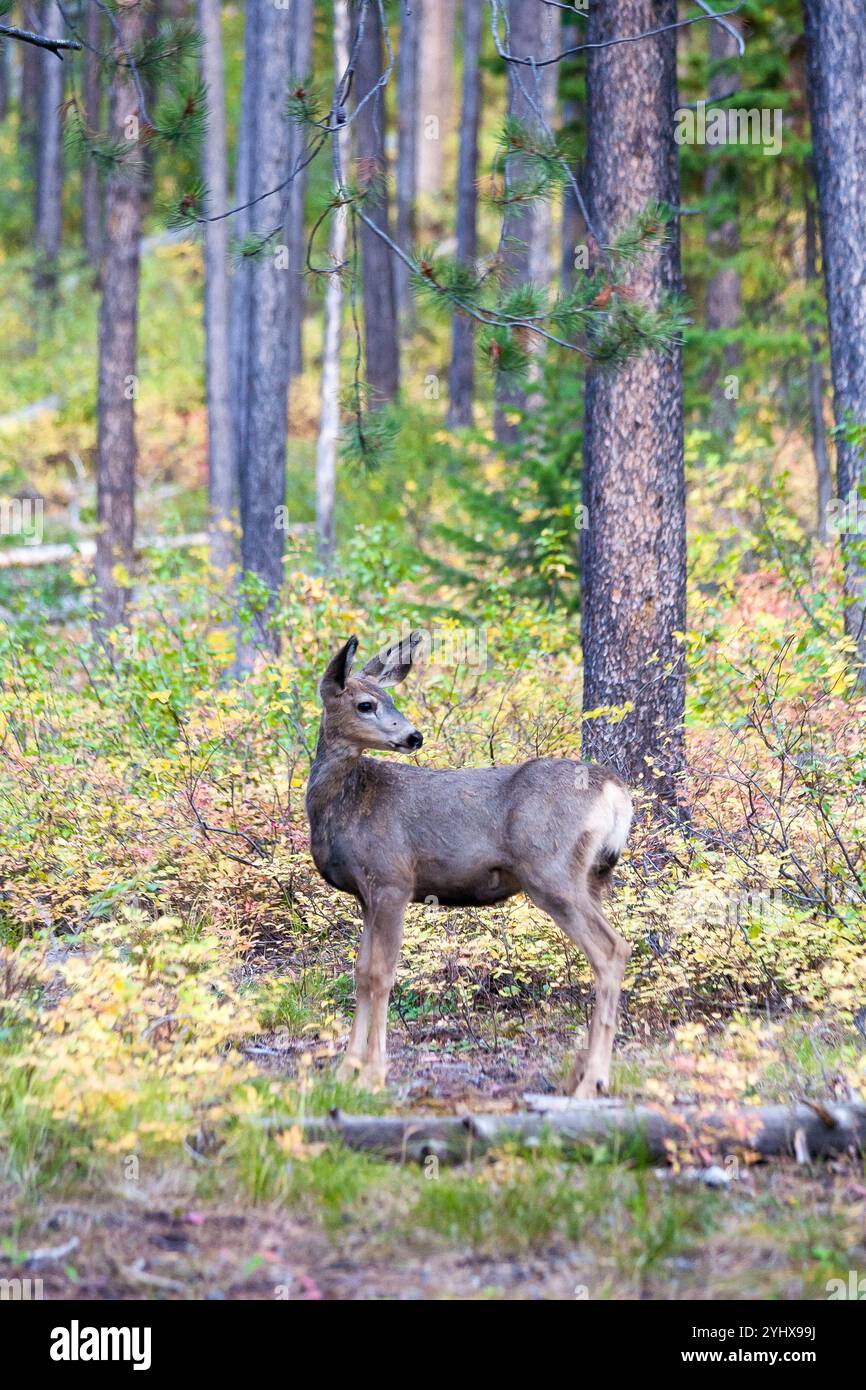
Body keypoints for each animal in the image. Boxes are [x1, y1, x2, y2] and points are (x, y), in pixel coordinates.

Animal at [308, 631, 633, 1095]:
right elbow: (360, 973)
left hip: (552, 871)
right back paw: (580, 1074)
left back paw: (593, 1082)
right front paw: (345, 1070)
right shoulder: (366, 895)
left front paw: (373, 1074)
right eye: (366, 704)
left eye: (388, 698)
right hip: (593, 876)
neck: (344, 805)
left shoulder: (392, 879)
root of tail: (615, 792)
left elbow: (381, 975)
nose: (414, 736)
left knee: (611, 950)